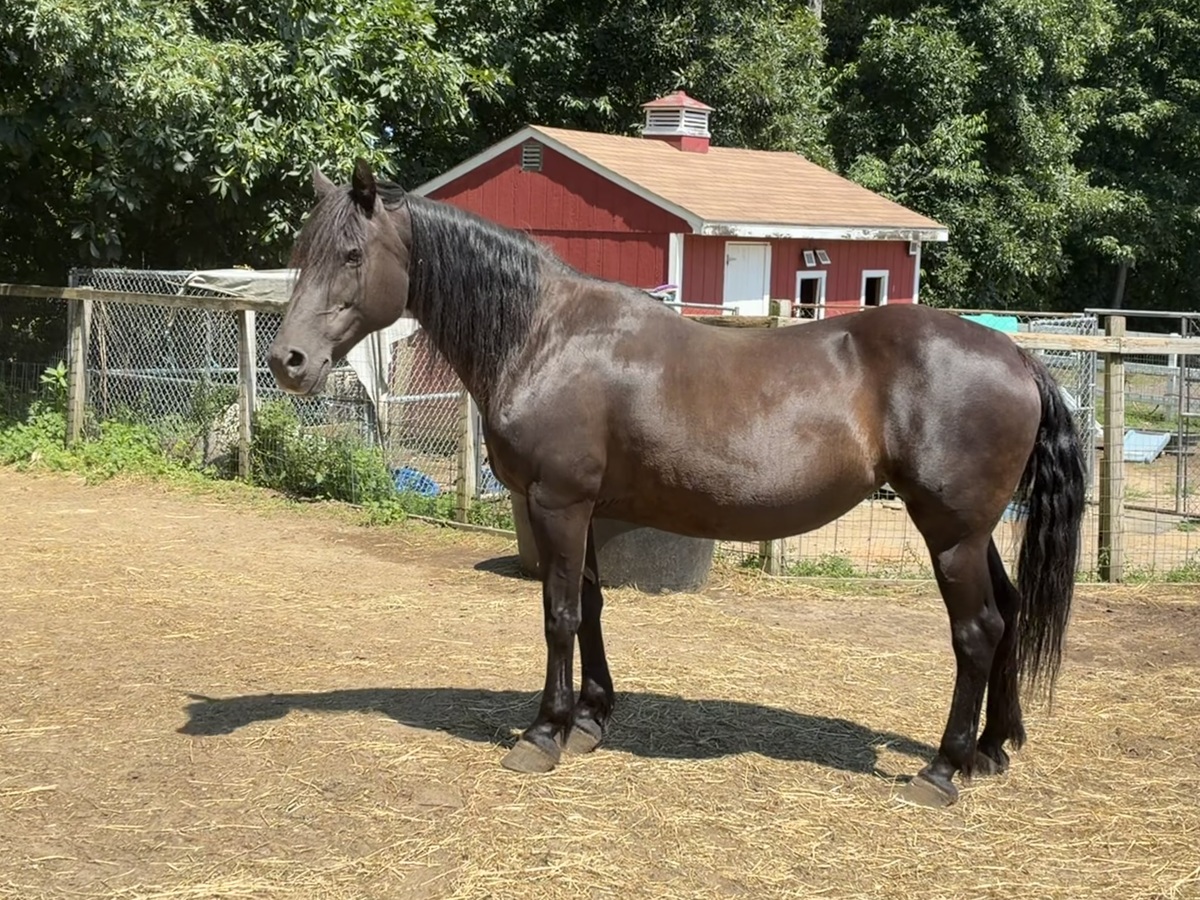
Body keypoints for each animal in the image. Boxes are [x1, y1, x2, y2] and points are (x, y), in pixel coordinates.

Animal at [267, 159, 1086, 808]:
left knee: (977, 631)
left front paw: (543, 731)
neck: (545, 335)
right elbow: (592, 608)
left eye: (351, 254)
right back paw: (992, 747)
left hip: (949, 533)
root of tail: (1017, 357)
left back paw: (943, 769)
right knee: (1010, 612)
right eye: (300, 252)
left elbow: (559, 616)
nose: (288, 361)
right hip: (971, 533)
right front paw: (591, 719)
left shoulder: (558, 502)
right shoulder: (582, 509)